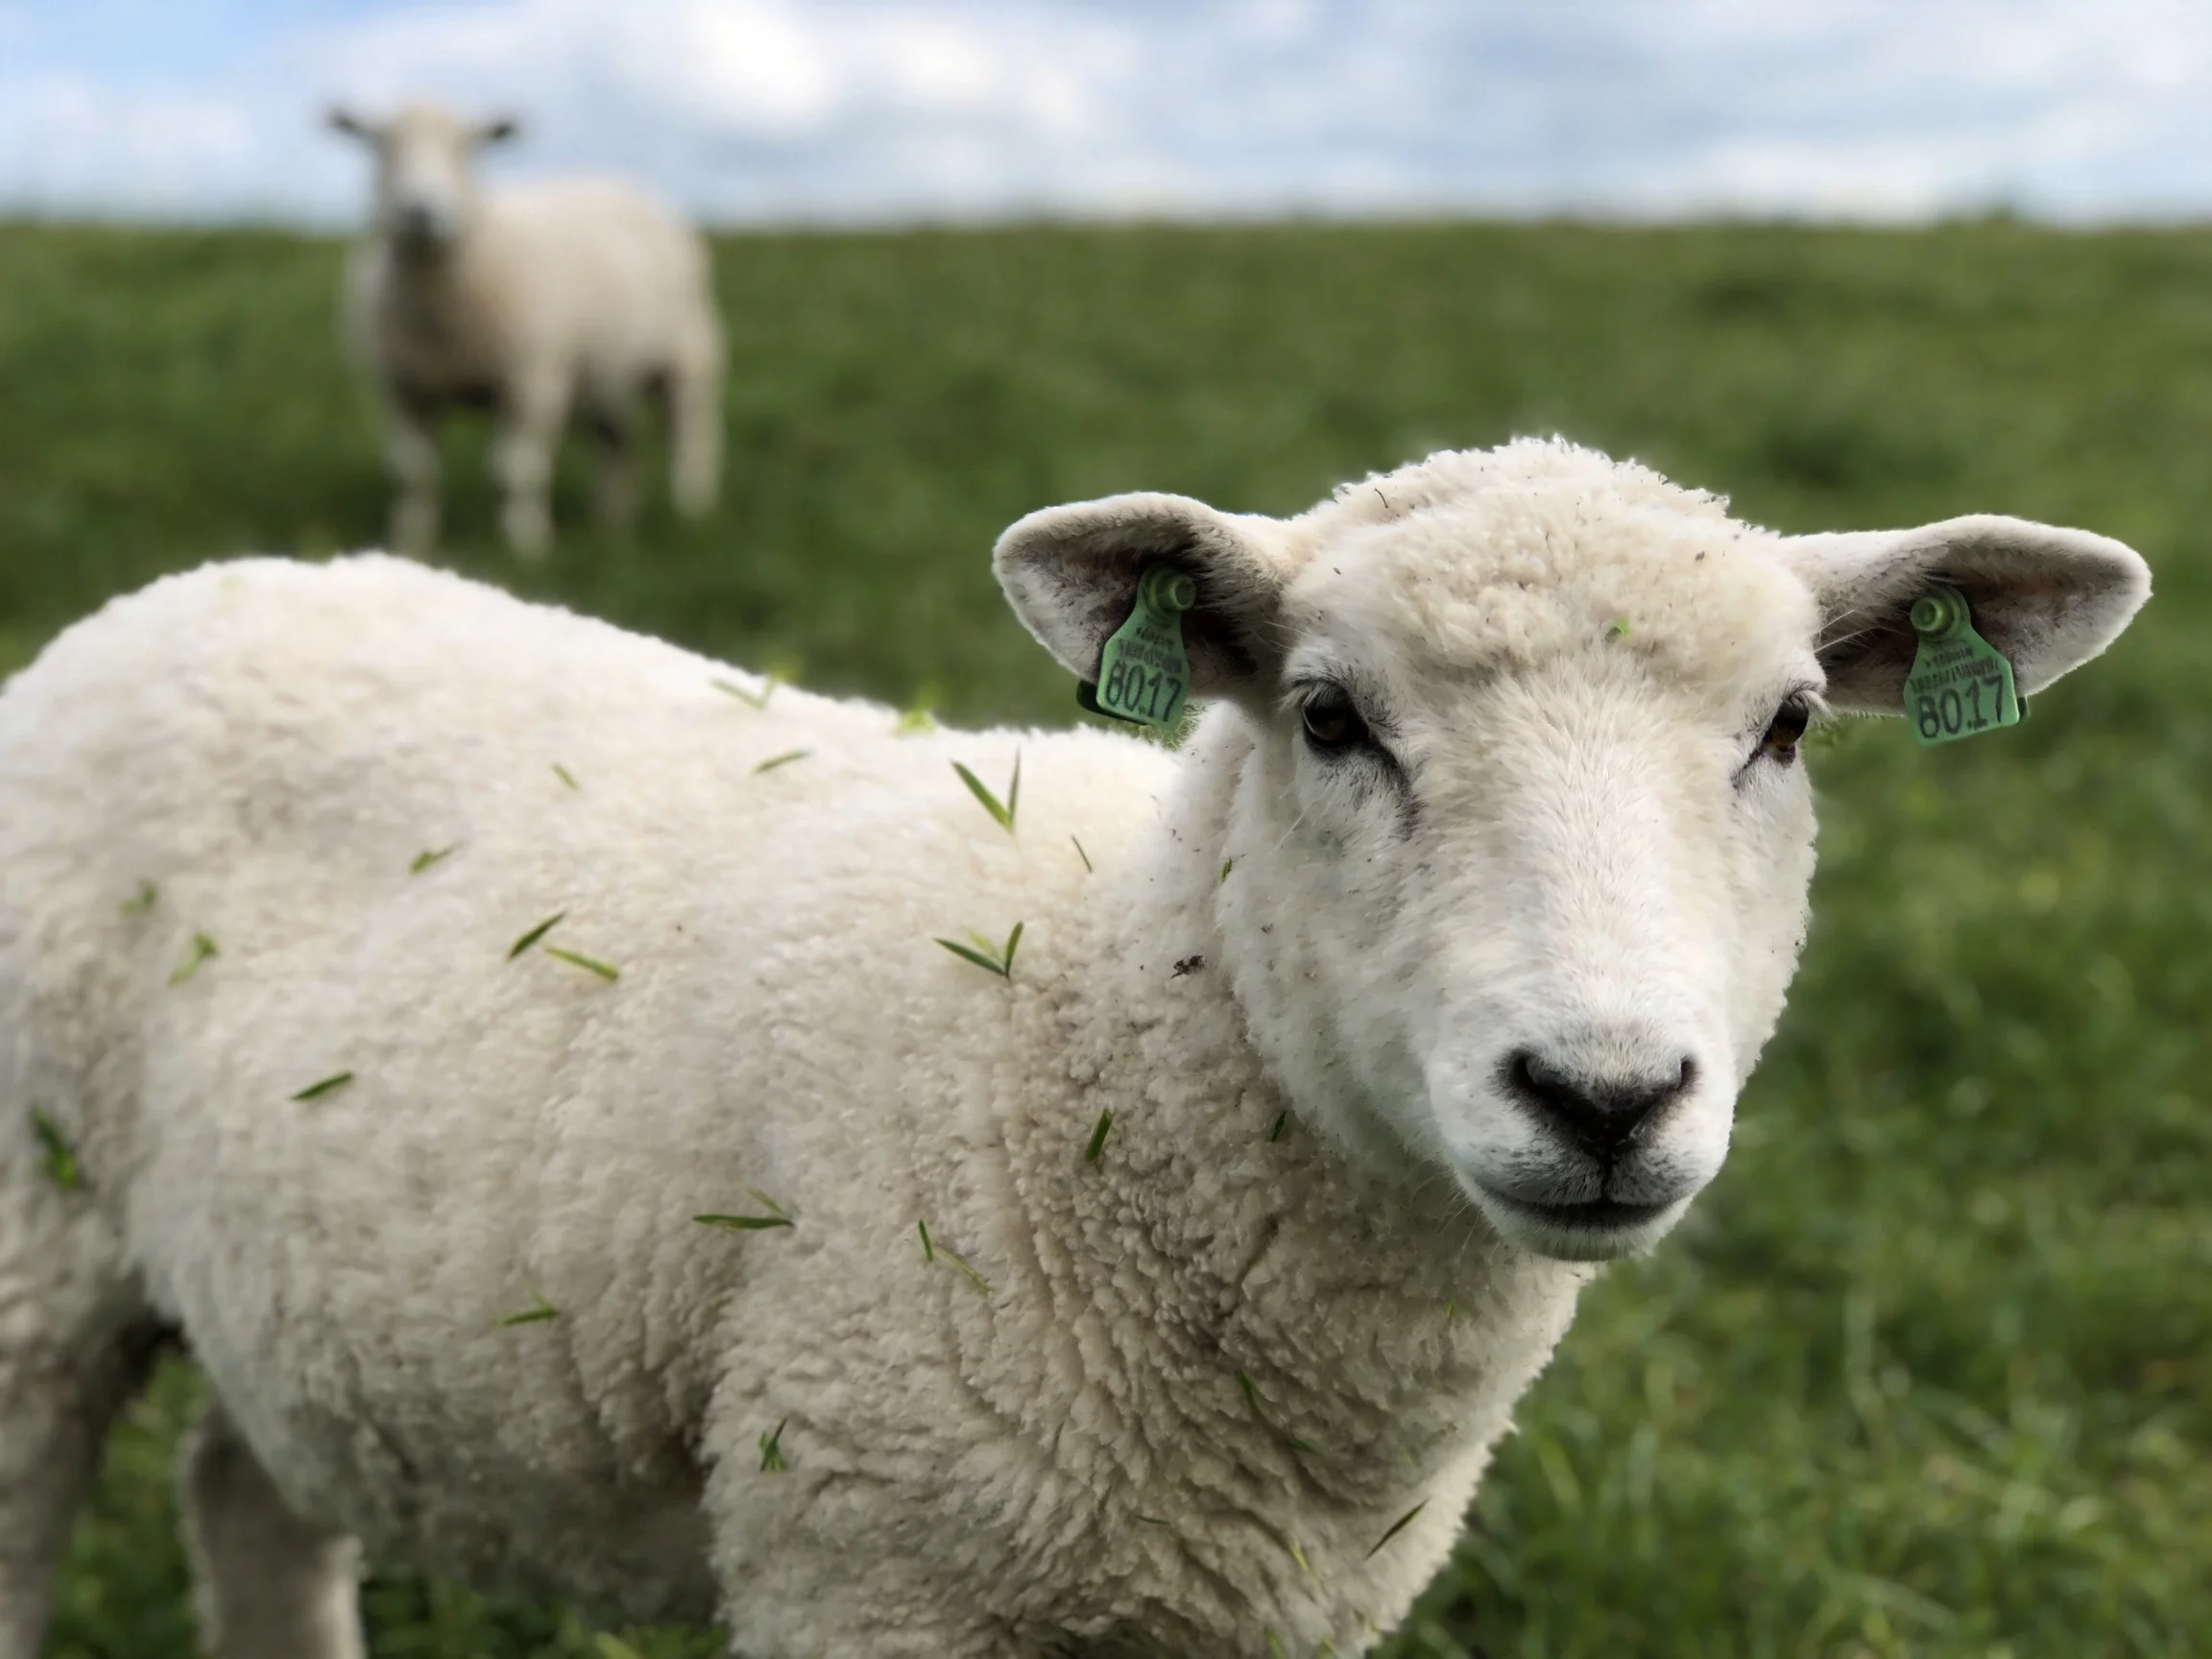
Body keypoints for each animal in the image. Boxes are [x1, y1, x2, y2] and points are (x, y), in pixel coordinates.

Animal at [0, 440, 2148, 1658]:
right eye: (1326, 716)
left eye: (1783, 728)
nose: (1604, 1095)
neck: (1100, 1035)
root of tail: (204, 583)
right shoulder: (873, 1567)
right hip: (33, 1269)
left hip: (315, 1286)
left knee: (252, 1500)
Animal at [328, 101, 725, 557]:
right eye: (381, 145)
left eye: (468, 148)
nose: (420, 211)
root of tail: (621, 182)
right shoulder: (401, 389)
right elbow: (413, 472)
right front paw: (411, 543)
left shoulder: (533, 382)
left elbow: (514, 470)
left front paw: (525, 544)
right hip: (603, 375)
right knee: (619, 441)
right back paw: (612, 523)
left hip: (688, 354)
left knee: (690, 435)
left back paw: (691, 512)